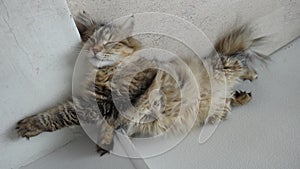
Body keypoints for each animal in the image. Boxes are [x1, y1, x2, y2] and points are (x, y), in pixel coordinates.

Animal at [15, 11, 268, 156]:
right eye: (91, 41)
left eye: (109, 42)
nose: (95, 50)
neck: (104, 72)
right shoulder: (99, 102)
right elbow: (73, 115)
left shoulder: (108, 100)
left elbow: (62, 114)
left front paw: (31, 124)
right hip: (219, 101)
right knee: (228, 97)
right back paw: (240, 98)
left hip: (224, 66)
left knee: (240, 58)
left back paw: (251, 75)